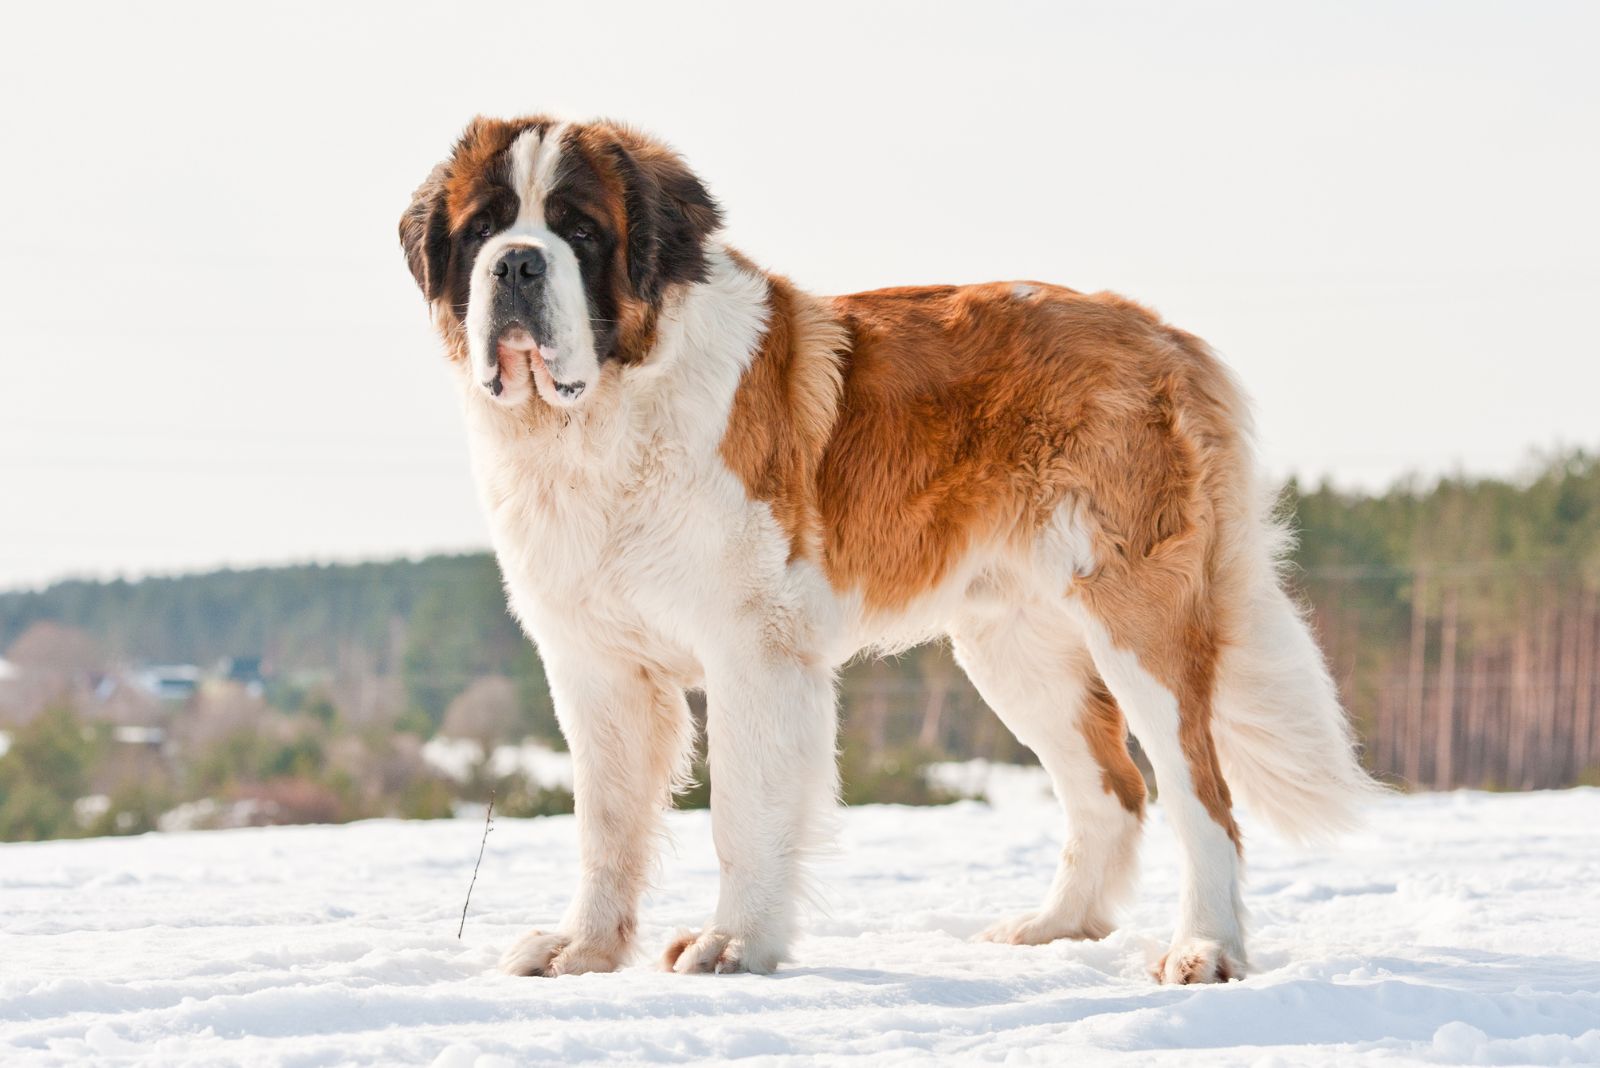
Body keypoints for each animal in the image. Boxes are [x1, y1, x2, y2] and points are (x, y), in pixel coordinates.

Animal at [396, 115, 1376, 984]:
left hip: (1139, 622)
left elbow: (741, 810)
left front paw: (732, 945)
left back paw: (1204, 951)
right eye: (482, 229)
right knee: (1112, 790)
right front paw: (583, 952)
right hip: (1013, 650)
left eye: (580, 231)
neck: (600, 417)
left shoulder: (753, 649)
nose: (517, 263)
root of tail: (1162, 332)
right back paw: (1056, 928)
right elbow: (605, 823)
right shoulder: (595, 664)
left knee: (1200, 796)